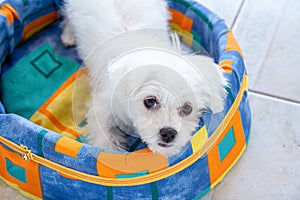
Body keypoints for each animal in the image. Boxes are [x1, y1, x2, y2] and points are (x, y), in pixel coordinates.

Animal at [61, 0, 226, 156]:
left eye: (187, 108)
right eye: (150, 101)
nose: (168, 133)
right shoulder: (102, 109)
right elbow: (104, 140)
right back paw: (68, 35)